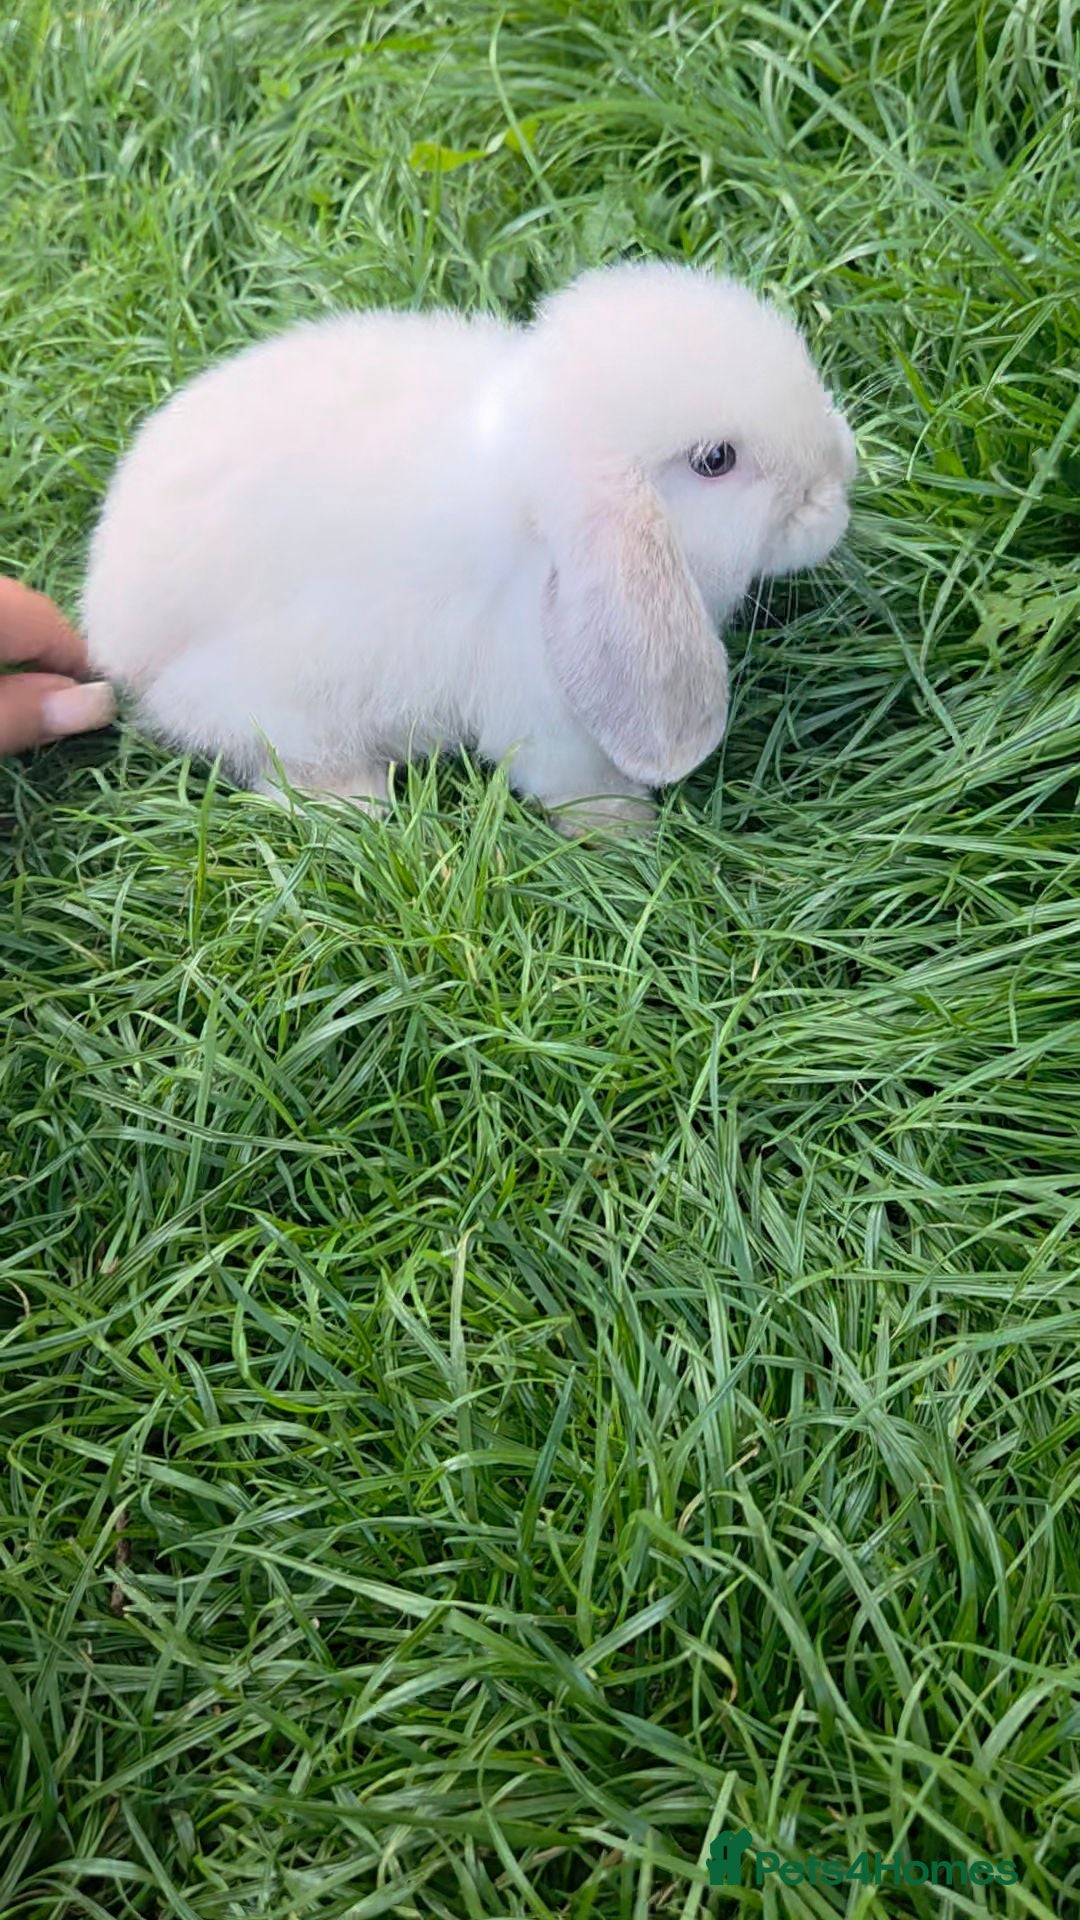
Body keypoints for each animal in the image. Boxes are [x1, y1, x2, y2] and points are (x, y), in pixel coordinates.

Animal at [83, 260, 856, 832]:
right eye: (715, 460)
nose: (838, 480)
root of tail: (112, 626)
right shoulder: (548, 719)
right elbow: (579, 786)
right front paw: (626, 836)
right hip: (274, 708)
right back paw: (356, 802)